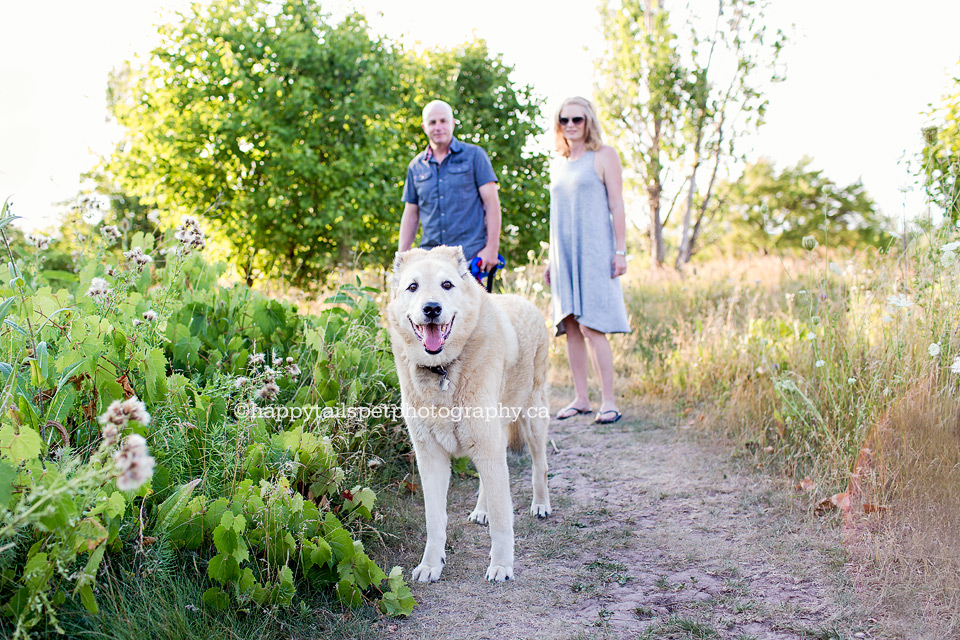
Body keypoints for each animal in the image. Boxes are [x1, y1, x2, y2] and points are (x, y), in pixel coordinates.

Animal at [382, 248, 548, 584]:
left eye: (446, 284)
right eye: (413, 287)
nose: (432, 309)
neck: (443, 371)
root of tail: (523, 300)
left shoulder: (487, 447)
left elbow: (502, 518)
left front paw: (502, 565)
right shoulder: (432, 458)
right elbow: (435, 520)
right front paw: (431, 565)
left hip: (532, 422)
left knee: (540, 466)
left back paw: (541, 504)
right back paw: (481, 510)